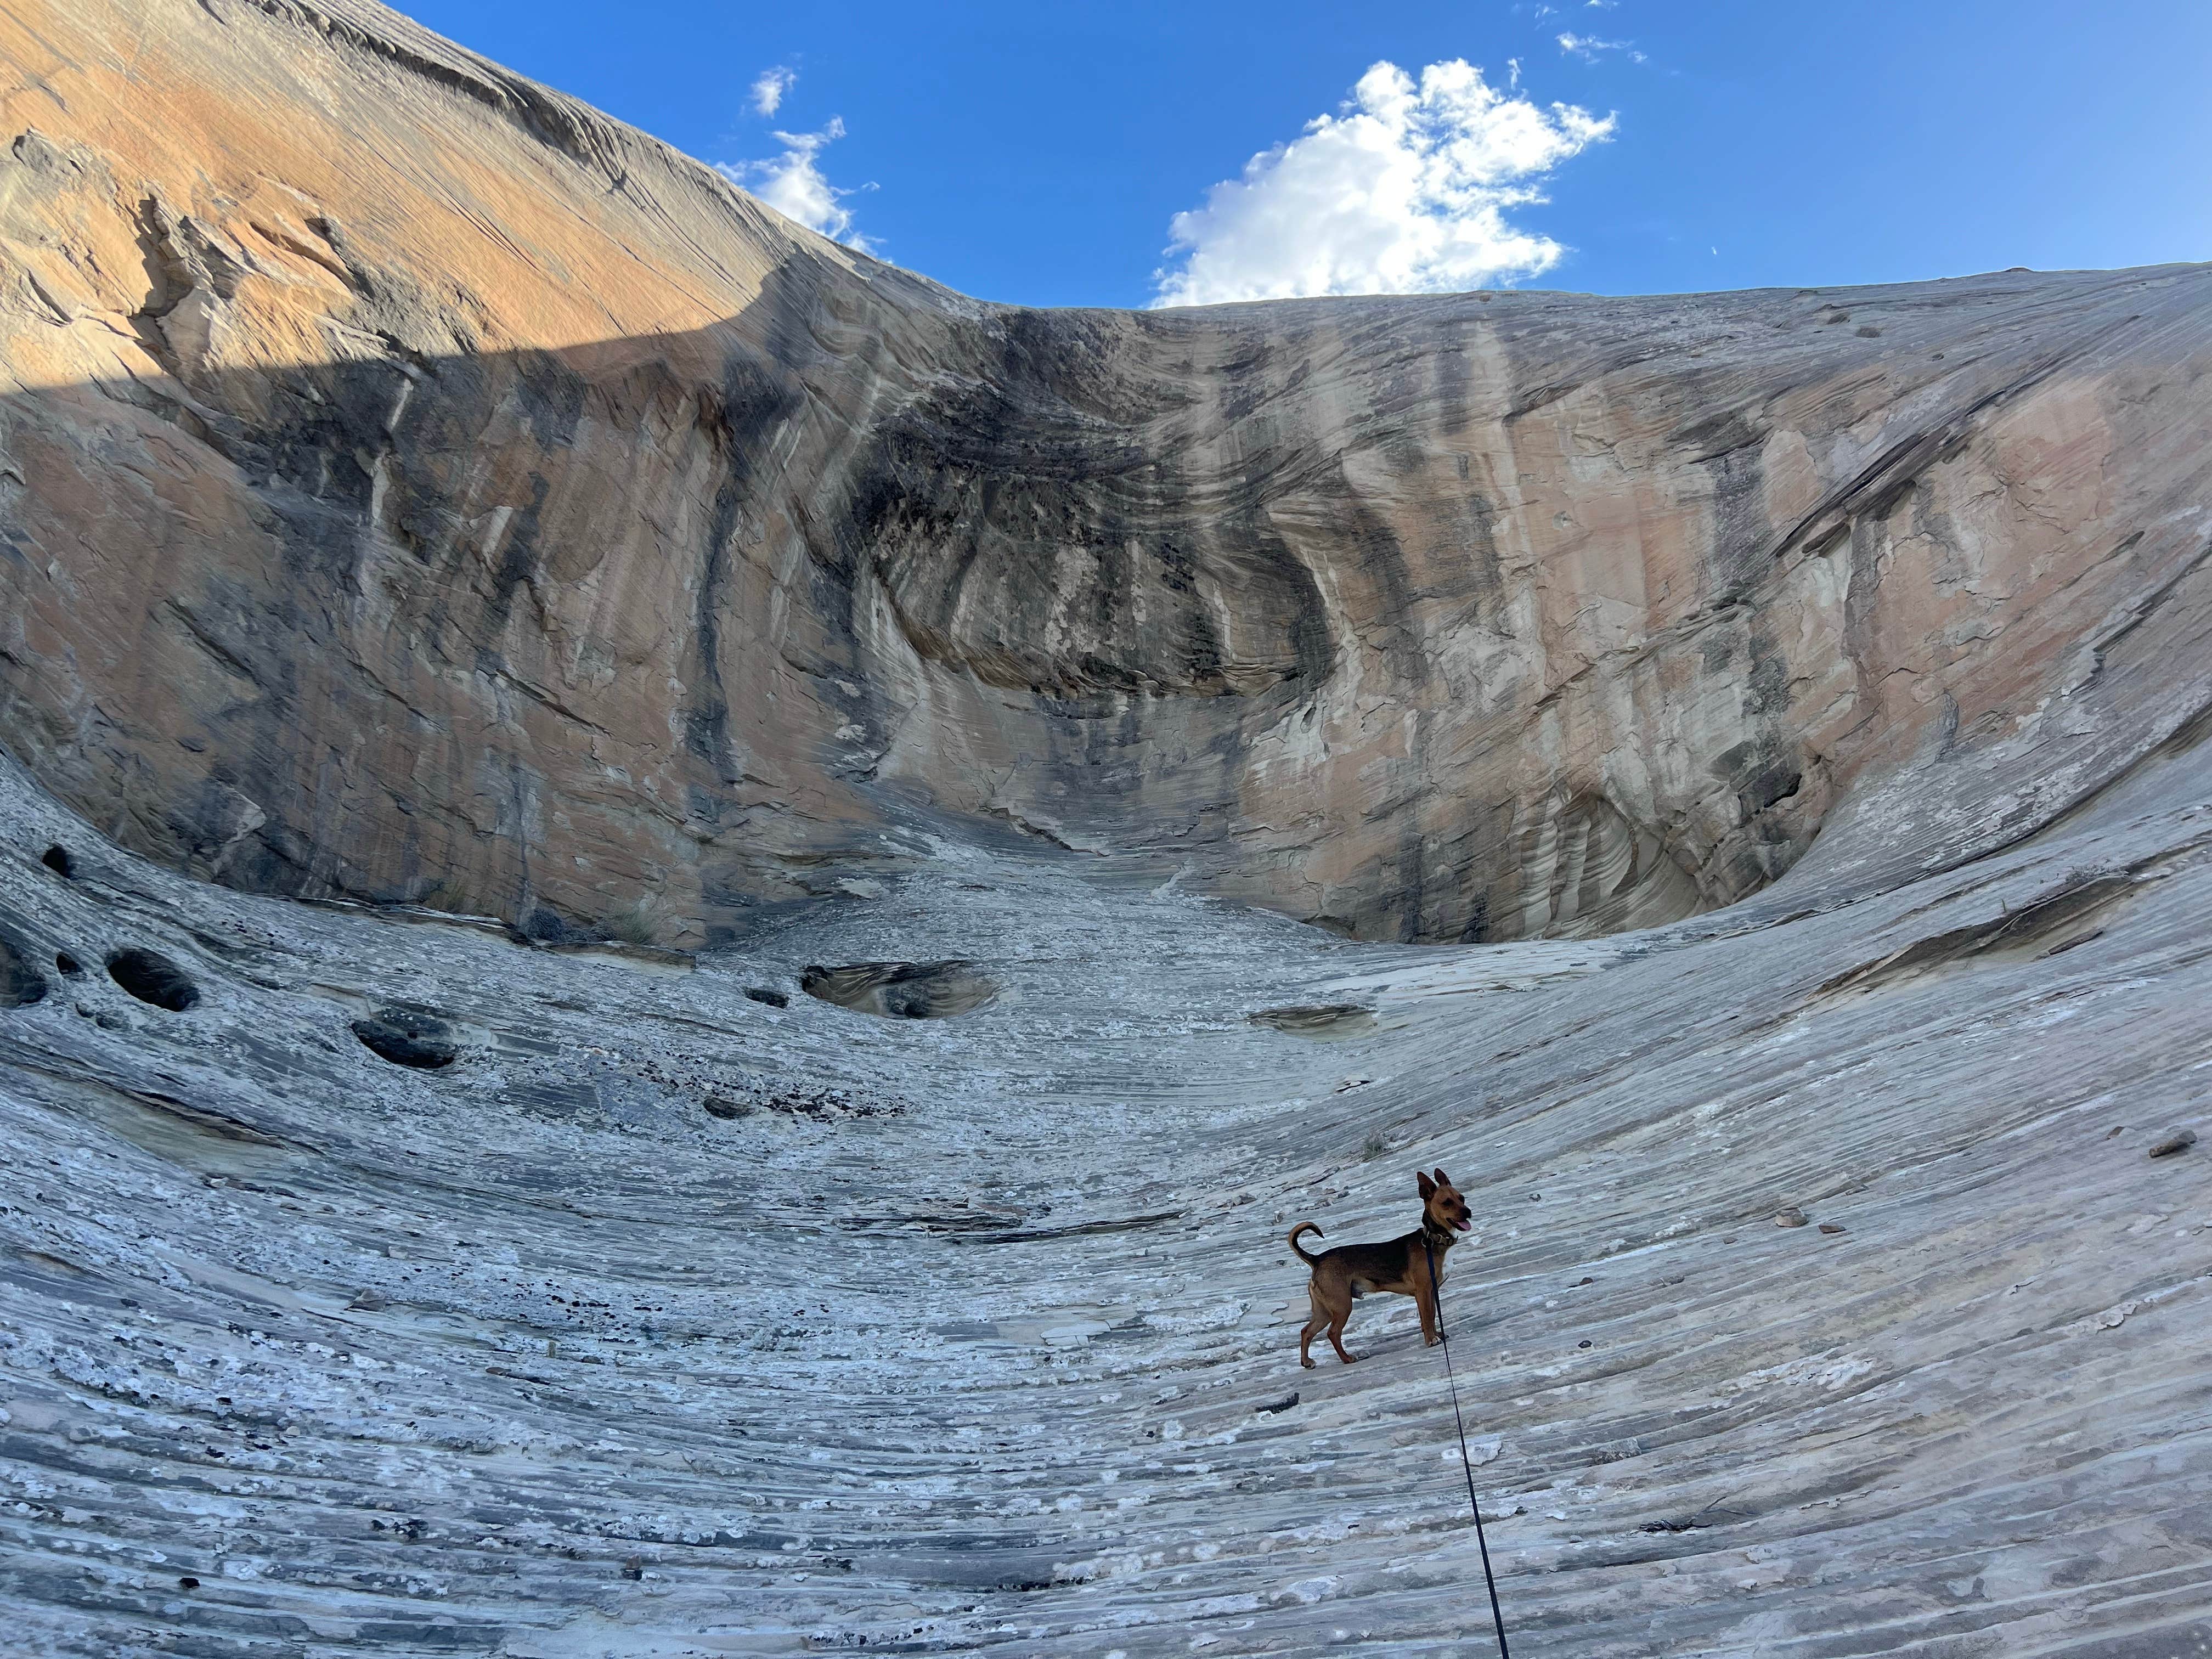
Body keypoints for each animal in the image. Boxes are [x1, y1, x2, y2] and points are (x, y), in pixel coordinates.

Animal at [1291, 1167, 1477, 1362]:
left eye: (1462, 1198)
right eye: (1447, 1202)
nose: (1468, 1211)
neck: (1433, 1240)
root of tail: (1317, 1259)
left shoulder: (1432, 1292)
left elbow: (1432, 1315)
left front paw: (1436, 1335)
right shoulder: (1423, 1291)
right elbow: (1427, 1317)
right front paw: (1431, 1340)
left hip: (1325, 1311)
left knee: (1306, 1331)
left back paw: (1306, 1362)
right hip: (1342, 1306)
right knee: (1333, 1333)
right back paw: (1347, 1358)